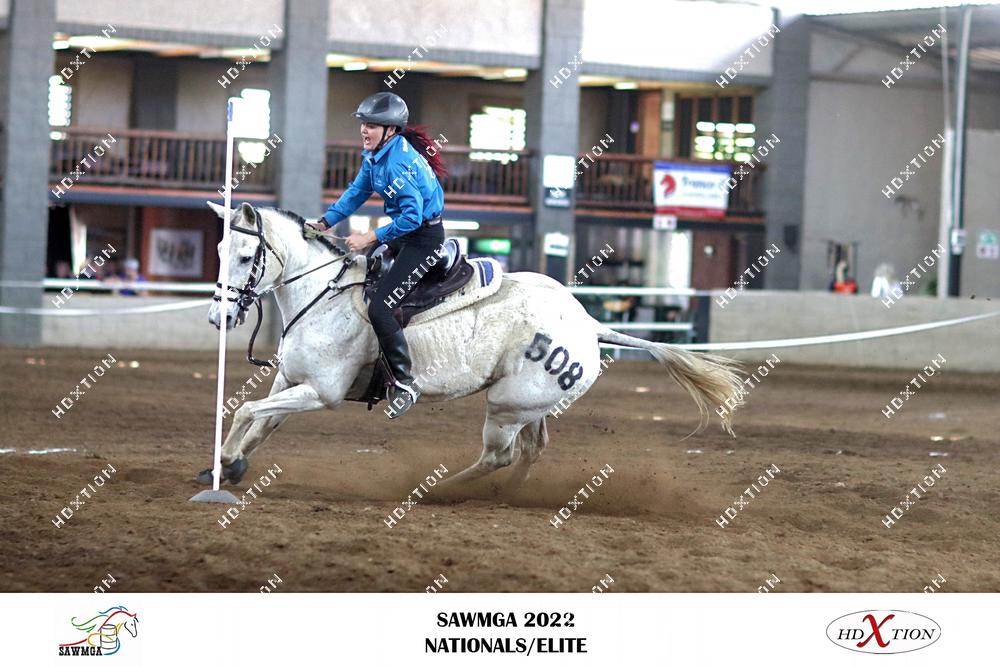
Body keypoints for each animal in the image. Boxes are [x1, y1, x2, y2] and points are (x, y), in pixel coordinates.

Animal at [200, 202, 744, 490]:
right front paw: (229, 465)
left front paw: (226, 462)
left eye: (246, 255)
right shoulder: (291, 381)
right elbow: (261, 424)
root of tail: (588, 324)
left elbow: (246, 411)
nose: (218, 317)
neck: (325, 294)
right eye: (221, 248)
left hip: (504, 406)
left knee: (499, 456)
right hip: (528, 406)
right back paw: (506, 494)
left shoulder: (322, 393)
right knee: (531, 450)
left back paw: (441, 490)